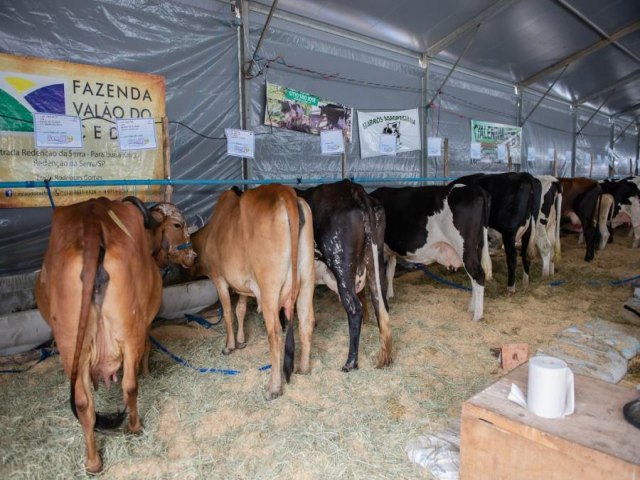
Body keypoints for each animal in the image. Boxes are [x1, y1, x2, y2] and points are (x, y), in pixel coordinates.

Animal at [34, 196, 194, 472]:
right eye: (177, 224)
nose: (193, 256)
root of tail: (91, 220)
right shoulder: (145, 323)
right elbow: (147, 349)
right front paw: (147, 372)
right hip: (127, 333)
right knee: (128, 386)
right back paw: (135, 427)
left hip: (71, 346)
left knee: (83, 403)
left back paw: (93, 462)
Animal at [192, 182, 318, 400]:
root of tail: (285, 192)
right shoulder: (244, 285)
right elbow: (240, 310)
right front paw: (242, 341)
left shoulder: (219, 279)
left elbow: (227, 312)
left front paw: (230, 345)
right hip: (307, 278)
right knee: (306, 320)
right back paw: (303, 368)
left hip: (269, 288)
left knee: (275, 332)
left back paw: (273, 387)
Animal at [298, 180, 392, 372]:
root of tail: (352, 188)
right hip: (374, 259)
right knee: (380, 302)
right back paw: (385, 357)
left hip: (341, 263)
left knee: (355, 309)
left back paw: (350, 362)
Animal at [370, 184, 490, 322]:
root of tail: (474, 188)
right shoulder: (391, 251)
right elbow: (390, 272)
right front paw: (390, 295)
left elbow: (380, 276)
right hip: (476, 248)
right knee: (473, 278)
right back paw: (471, 308)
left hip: (465, 249)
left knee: (478, 275)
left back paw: (477, 316)